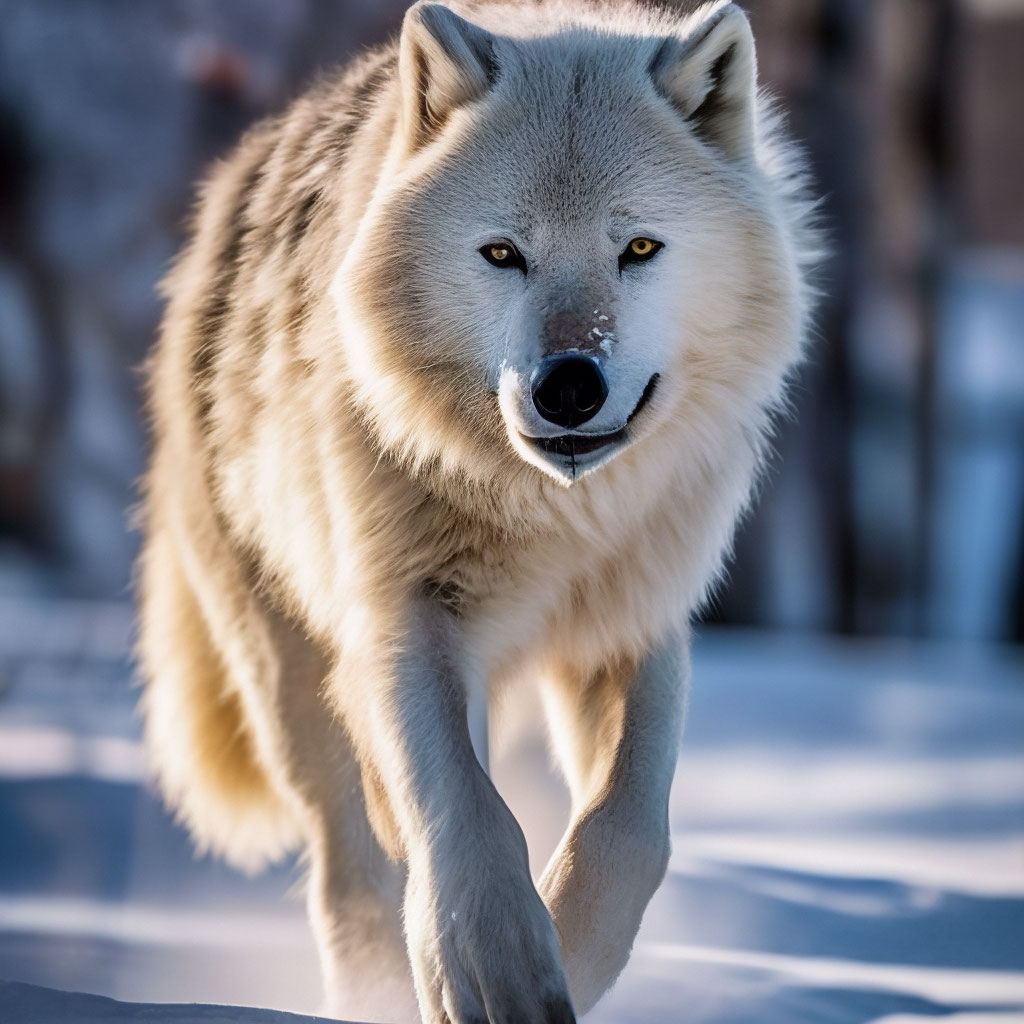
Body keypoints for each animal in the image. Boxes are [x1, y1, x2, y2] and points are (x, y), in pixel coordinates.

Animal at [138, 0, 823, 1019]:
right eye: (504, 253)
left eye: (639, 249)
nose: (570, 385)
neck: (549, 517)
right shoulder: (404, 619)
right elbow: (463, 808)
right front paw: (499, 969)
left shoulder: (634, 624)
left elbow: (630, 829)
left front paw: (571, 956)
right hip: (291, 679)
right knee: (349, 873)